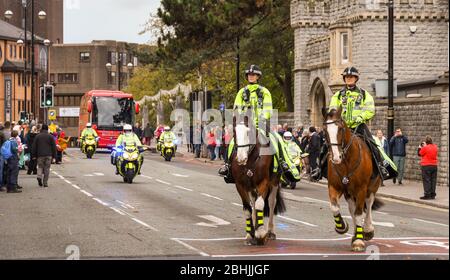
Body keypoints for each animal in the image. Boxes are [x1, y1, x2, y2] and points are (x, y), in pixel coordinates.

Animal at [232, 114, 284, 245]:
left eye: (248, 131)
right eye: (234, 132)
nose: (241, 158)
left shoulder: (263, 182)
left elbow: (260, 204)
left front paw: (260, 233)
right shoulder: (240, 185)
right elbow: (248, 209)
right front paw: (250, 234)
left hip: (274, 183)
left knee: (271, 203)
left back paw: (270, 232)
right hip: (251, 187)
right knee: (253, 204)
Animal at [324, 107, 384, 252]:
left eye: (340, 129)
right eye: (325, 130)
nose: (336, 158)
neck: (346, 162)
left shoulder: (361, 189)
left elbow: (359, 213)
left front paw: (358, 241)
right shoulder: (334, 186)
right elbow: (335, 207)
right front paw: (341, 227)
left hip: (371, 187)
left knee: (368, 205)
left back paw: (367, 230)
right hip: (349, 193)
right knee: (352, 208)